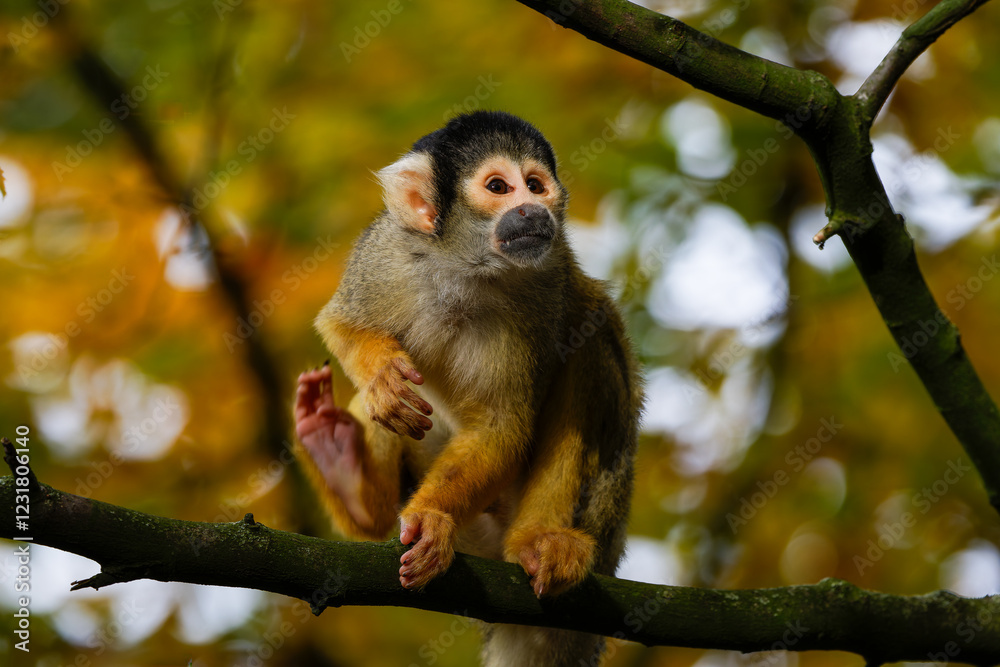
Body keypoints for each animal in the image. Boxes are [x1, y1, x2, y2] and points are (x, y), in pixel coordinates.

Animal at [294, 110, 642, 666]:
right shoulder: (387, 251)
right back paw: (345, 470)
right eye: (498, 187)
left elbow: (503, 429)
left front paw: (433, 517)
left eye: (535, 185)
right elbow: (341, 324)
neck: (467, 267)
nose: (532, 210)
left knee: (592, 332)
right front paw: (382, 378)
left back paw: (540, 541)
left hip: (600, 520)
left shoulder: (544, 286)